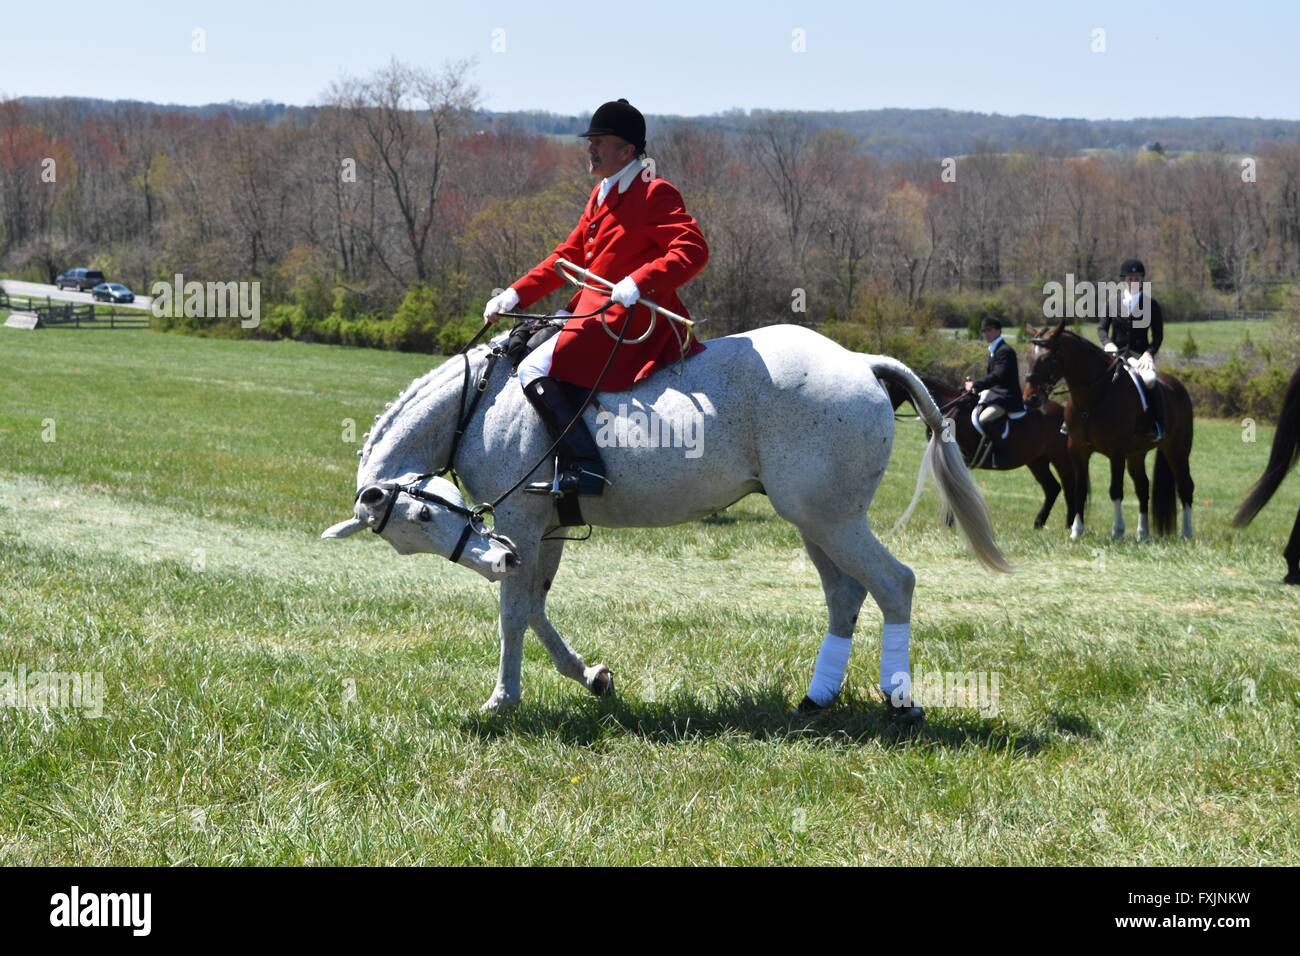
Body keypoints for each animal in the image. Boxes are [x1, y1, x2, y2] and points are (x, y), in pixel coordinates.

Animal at [322, 325, 1003, 712]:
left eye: (421, 512)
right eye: (412, 540)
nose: (495, 560)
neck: (482, 401)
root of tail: (861, 361)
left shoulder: (520, 519)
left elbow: (514, 615)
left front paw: (503, 700)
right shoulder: (544, 528)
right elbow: (536, 608)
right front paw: (592, 677)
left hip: (833, 521)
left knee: (894, 585)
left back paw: (901, 700)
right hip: (818, 523)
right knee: (846, 595)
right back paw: (817, 700)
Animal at [889, 374, 1081, 530]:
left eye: (888, 384)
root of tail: (1063, 411)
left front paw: (951, 523)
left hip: (1060, 458)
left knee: (1069, 488)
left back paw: (1069, 526)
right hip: (1037, 461)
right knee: (1052, 488)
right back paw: (1038, 524)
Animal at [1024, 323, 1196, 541]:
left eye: (1047, 359)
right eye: (1028, 356)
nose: (1030, 399)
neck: (1093, 397)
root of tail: (1178, 386)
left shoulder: (1116, 453)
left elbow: (1115, 490)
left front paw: (1117, 531)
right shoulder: (1078, 450)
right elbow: (1080, 490)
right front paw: (1076, 531)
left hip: (1177, 450)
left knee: (1185, 486)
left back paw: (1187, 533)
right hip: (1136, 454)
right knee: (1143, 487)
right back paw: (1142, 534)